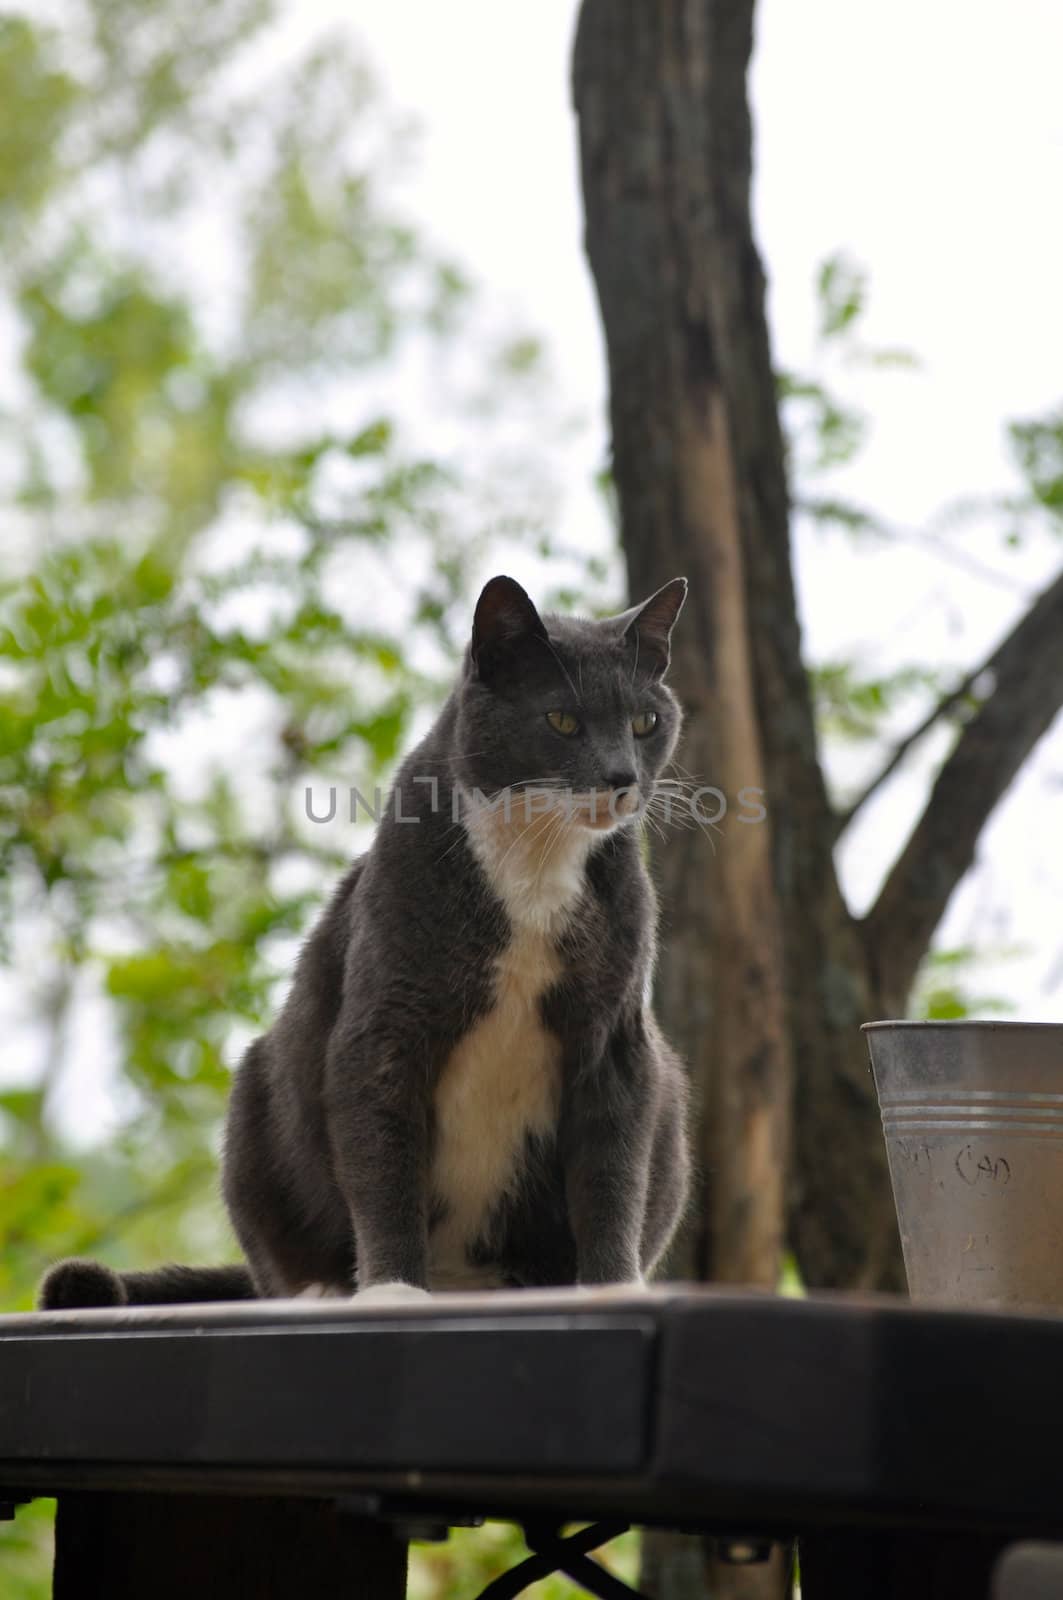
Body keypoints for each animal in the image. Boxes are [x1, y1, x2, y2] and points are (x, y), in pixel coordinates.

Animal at [39, 582, 688, 1305]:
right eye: (562, 721)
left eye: (645, 722)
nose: (621, 777)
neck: (537, 863)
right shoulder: (383, 1022)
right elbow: (383, 1161)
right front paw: (393, 1290)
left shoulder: (616, 1037)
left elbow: (613, 1168)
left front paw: (610, 1287)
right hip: (257, 1093)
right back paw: (325, 1291)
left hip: (668, 1093)